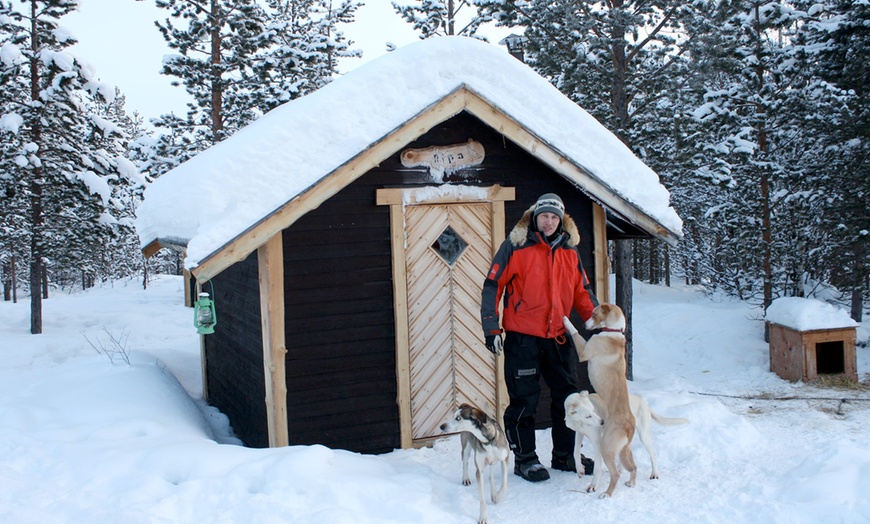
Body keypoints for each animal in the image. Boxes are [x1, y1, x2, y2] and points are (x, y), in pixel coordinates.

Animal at [564, 308, 640, 500]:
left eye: (593, 314)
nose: (585, 325)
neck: (613, 332)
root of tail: (629, 424)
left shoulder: (584, 351)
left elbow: (574, 332)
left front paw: (566, 321)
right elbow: (575, 450)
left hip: (607, 447)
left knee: (616, 474)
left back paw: (606, 493)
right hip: (624, 450)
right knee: (633, 467)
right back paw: (631, 483)